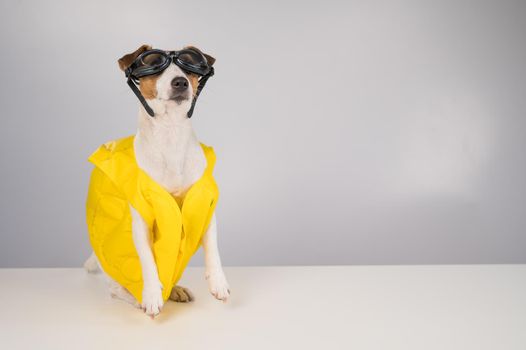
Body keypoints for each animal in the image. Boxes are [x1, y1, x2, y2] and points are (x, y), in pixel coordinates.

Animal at [83, 43, 230, 318]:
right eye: (152, 63)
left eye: (189, 63)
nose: (180, 82)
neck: (170, 134)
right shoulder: (141, 220)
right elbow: (148, 262)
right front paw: (151, 295)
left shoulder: (204, 206)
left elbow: (213, 249)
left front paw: (218, 282)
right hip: (114, 274)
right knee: (117, 290)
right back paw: (140, 298)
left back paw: (175, 290)